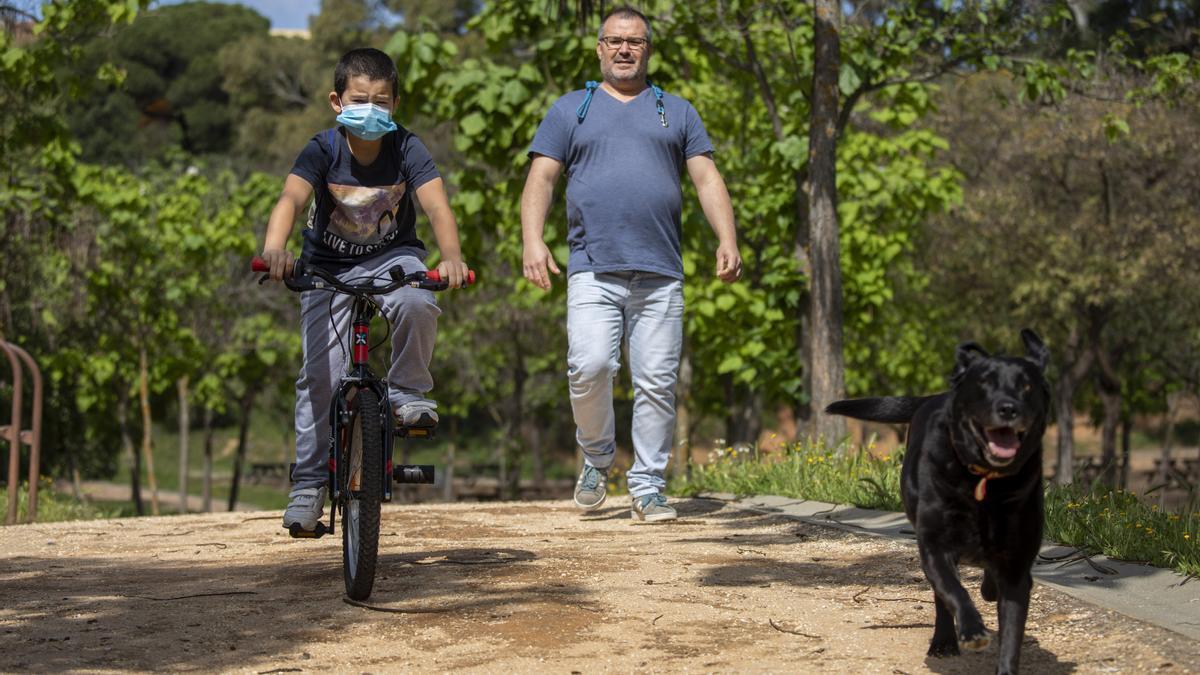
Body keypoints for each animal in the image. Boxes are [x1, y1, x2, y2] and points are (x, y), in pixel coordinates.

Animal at [825, 329, 1051, 667]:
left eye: (1027, 385)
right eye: (984, 382)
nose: (1008, 408)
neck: (983, 482)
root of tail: (935, 396)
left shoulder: (1016, 563)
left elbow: (1011, 636)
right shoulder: (935, 547)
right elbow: (954, 593)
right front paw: (971, 629)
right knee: (942, 596)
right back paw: (944, 641)